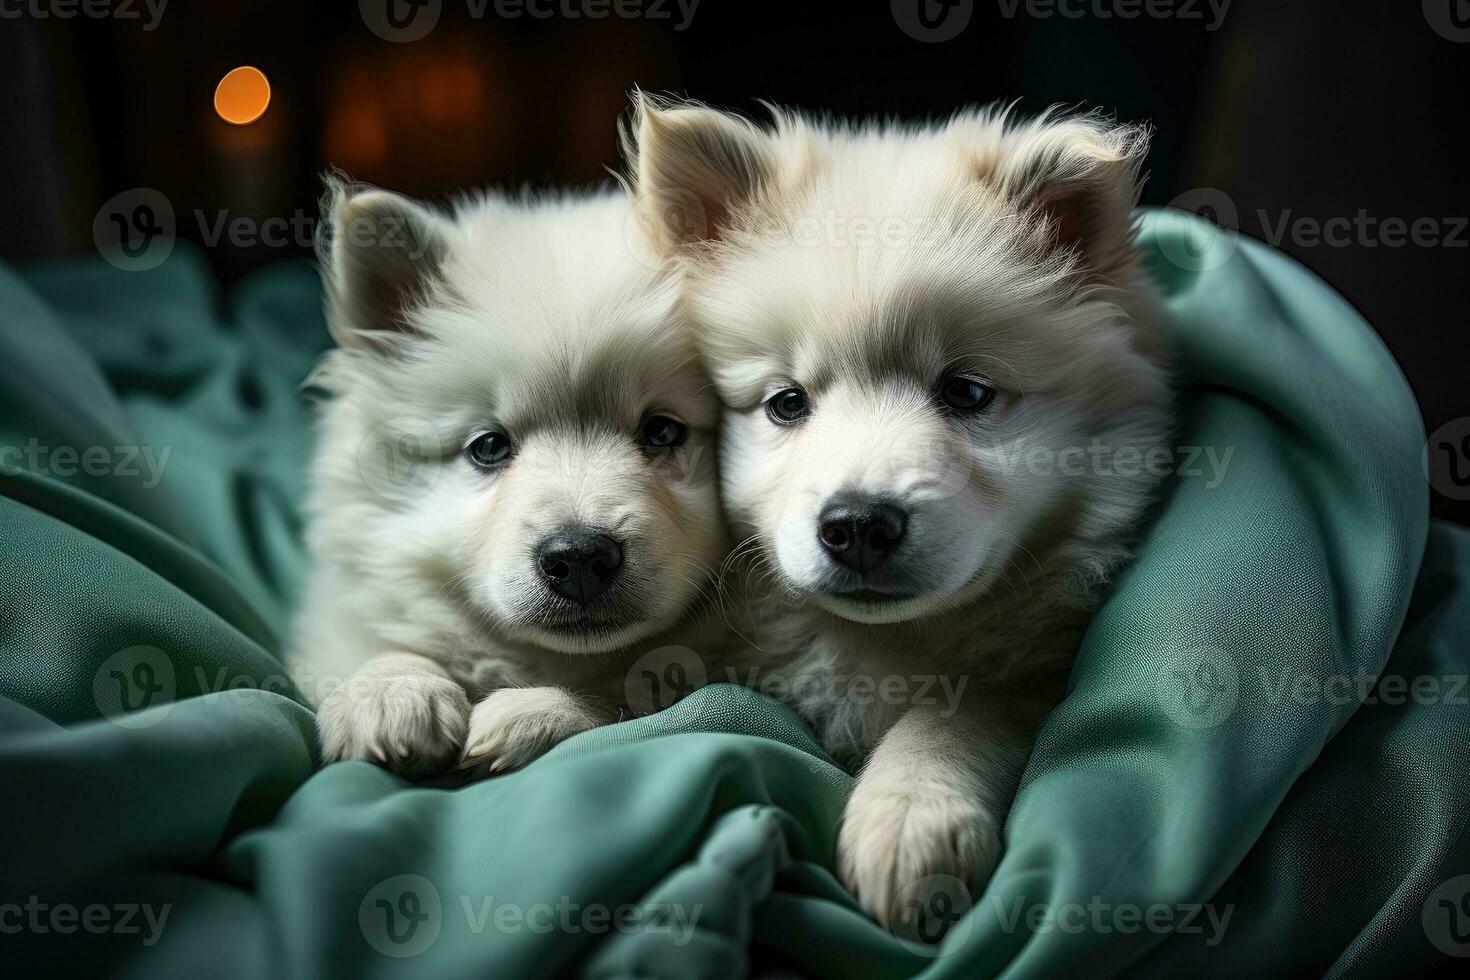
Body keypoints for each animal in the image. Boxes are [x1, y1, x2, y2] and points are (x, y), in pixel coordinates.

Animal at [295, 178, 732, 781]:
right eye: (489, 447)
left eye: (663, 431)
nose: (578, 558)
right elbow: (389, 640)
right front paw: (390, 693)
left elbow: (628, 695)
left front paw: (538, 710)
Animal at [626, 99, 1176, 940]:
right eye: (787, 403)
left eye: (968, 393)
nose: (857, 525)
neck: (884, 645)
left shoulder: (1035, 666)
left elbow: (958, 713)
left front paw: (911, 813)